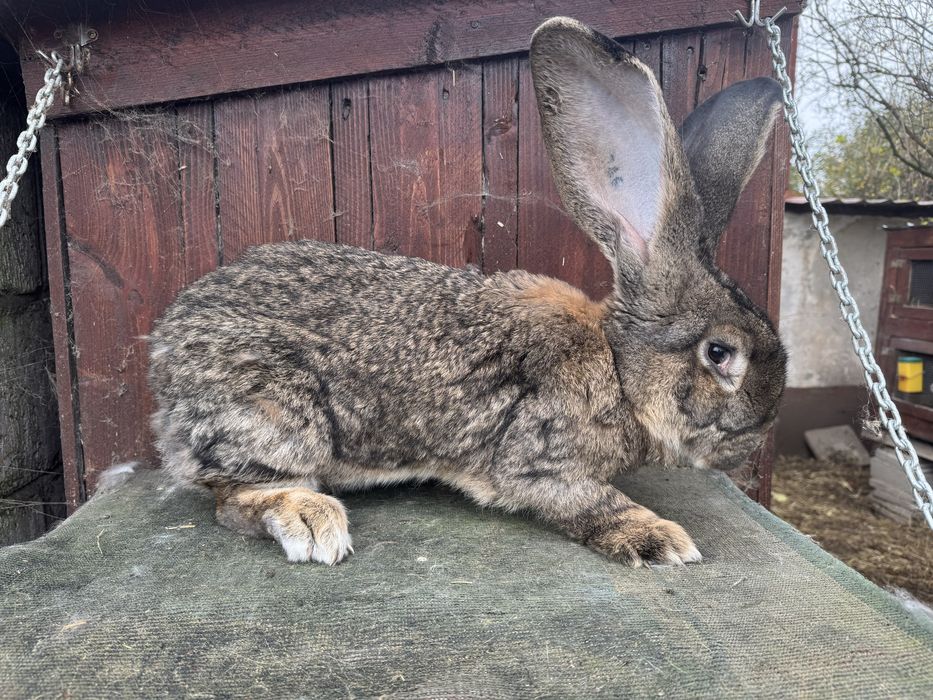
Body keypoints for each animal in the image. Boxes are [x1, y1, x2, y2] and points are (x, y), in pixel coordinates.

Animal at [148, 16, 787, 567]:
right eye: (719, 353)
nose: (758, 434)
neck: (619, 369)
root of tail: (163, 360)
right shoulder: (537, 463)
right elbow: (588, 502)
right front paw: (659, 539)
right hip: (278, 418)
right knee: (231, 498)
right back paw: (311, 520)